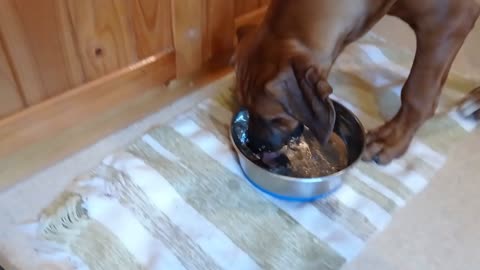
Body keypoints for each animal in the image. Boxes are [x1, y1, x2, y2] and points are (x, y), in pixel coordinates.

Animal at [232, 0, 480, 165]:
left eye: (277, 119)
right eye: (245, 106)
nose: (252, 145)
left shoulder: (449, 23)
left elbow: (417, 92)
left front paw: (392, 139)